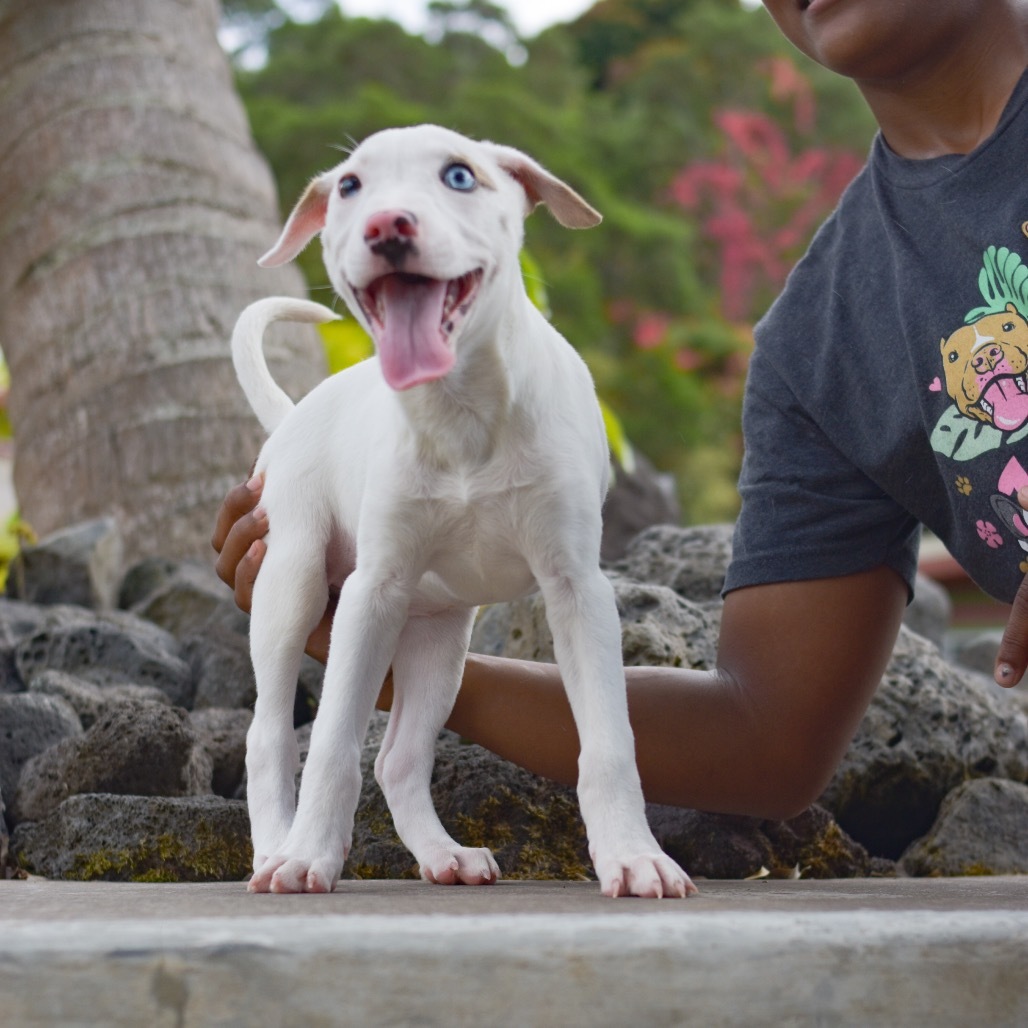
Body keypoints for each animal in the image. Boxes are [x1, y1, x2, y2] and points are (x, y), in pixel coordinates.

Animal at [234, 122, 699, 900]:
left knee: (396, 757)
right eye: (350, 186)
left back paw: (443, 854)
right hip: (290, 581)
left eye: (459, 175)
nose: (387, 225)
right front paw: (310, 857)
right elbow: (330, 741)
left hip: (439, 640)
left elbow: (609, 740)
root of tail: (295, 414)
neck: (461, 414)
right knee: (269, 734)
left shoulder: (578, 590)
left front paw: (634, 856)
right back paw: (278, 850)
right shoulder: (371, 592)